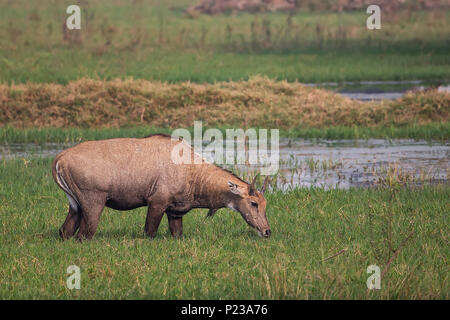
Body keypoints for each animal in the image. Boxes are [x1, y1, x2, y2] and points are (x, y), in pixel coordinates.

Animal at [52, 132, 270, 240]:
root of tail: (60, 158)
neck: (192, 171)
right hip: (94, 203)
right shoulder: (157, 203)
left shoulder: (175, 211)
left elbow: (177, 234)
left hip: (75, 205)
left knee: (64, 232)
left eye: (264, 204)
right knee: (83, 235)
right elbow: (149, 232)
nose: (267, 231)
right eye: (253, 203)